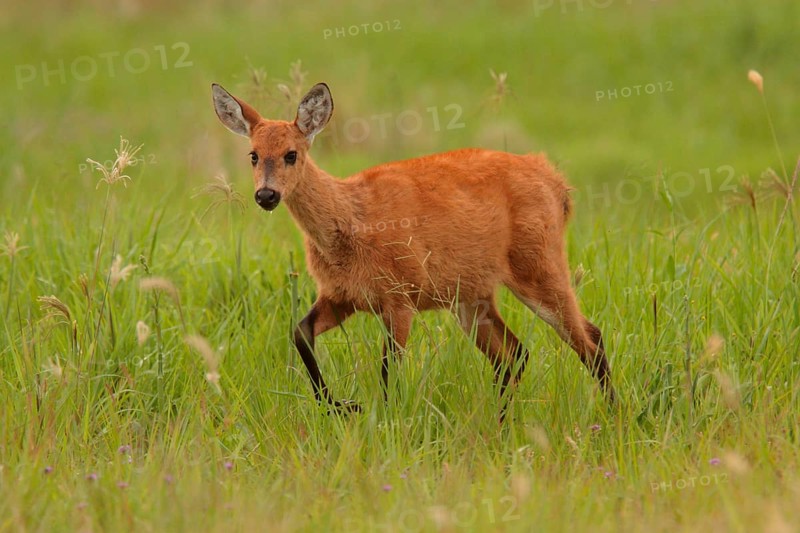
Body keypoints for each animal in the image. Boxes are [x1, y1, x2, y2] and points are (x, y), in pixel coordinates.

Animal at [211, 81, 615, 420]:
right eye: (253, 155)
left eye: (291, 154)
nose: (266, 195)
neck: (350, 222)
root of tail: (556, 182)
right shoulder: (343, 296)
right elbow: (300, 334)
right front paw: (340, 405)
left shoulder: (399, 296)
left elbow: (388, 371)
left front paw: (379, 418)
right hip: (472, 297)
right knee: (515, 354)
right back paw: (501, 421)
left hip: (538, 265)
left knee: (590, 339)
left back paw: (613, 415)